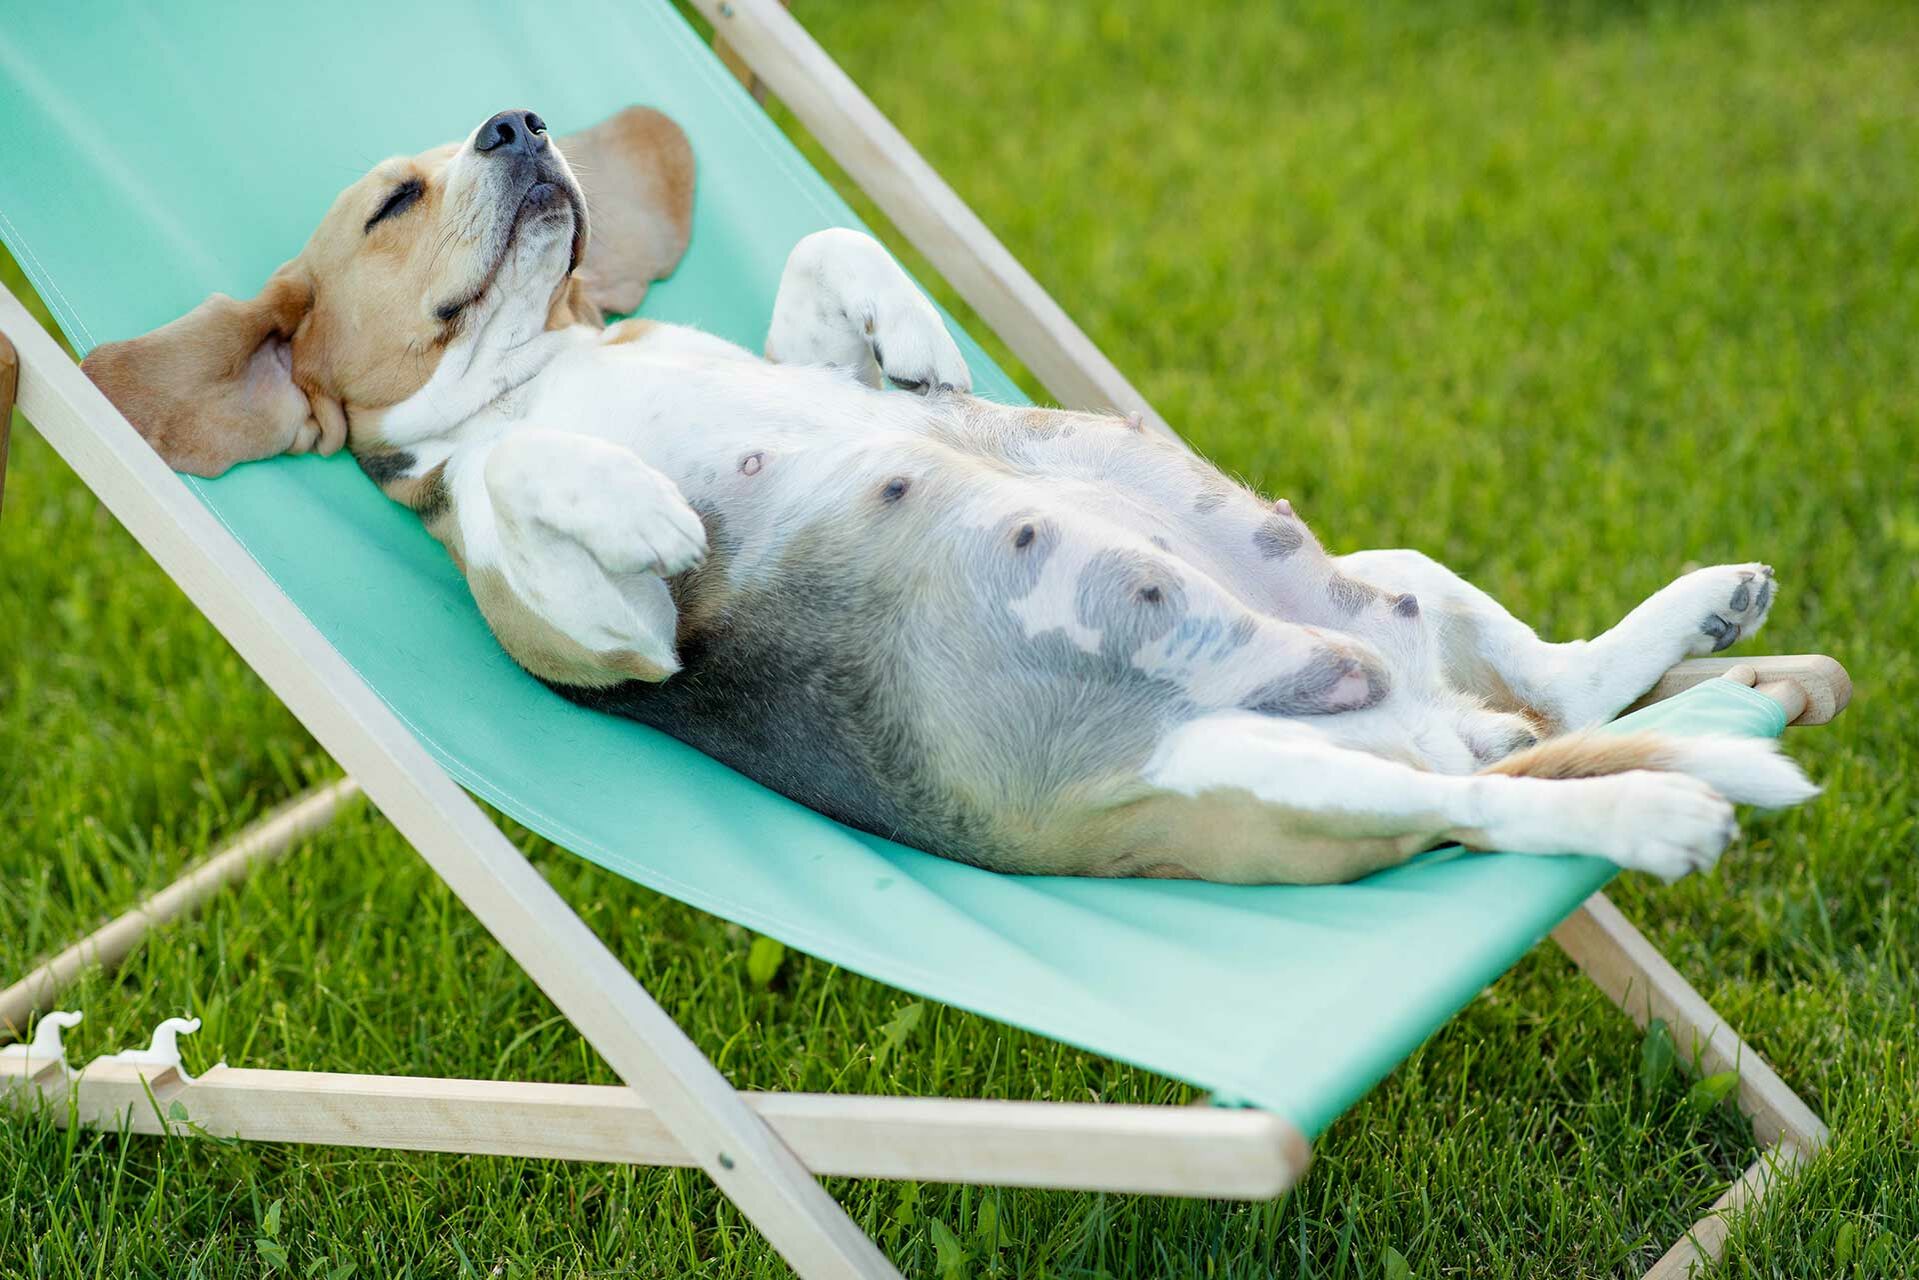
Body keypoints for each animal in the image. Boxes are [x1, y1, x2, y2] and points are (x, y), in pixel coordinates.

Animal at [82, 105, 1811, 886]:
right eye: (394, 201)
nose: (518, 119)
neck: (540, 361)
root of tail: (1431, 718)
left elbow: (817, 260)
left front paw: (911, 340)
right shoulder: (593, 633)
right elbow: (522, 486)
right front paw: (641, 507)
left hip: (1398, 583)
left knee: (1557, 684)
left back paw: (1693, 625)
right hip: (1262, 773)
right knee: (1488, 803)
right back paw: (1656, 808)